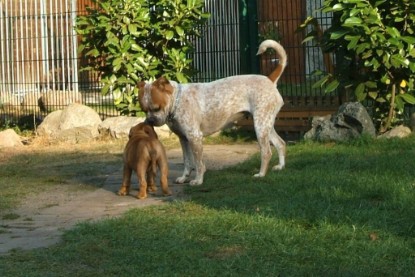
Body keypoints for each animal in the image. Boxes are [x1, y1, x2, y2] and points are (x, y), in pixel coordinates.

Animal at [138, 39, 288, 185]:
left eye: (156, 107)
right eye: (144, 110)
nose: (150, 120)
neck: (178, 100)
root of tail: (270, 79)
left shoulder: (195, 137)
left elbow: (198, 163)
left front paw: (198, 180)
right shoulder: (183, 139)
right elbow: (187, 162)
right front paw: (184, 178)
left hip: (260, 126)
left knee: (267, 152)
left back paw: (261, 174)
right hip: (266, 125)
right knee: (281, 143)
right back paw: (280, 167)